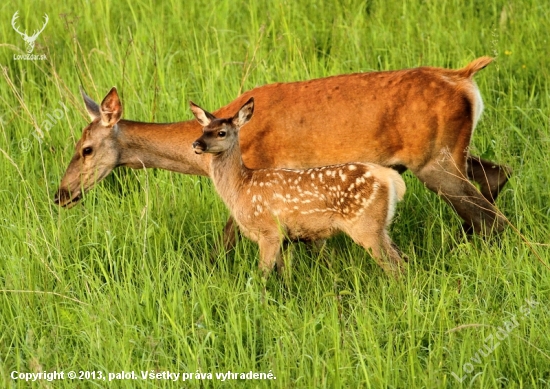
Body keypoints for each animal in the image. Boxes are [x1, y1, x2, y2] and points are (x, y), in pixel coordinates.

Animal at [57, 56, 512, 247]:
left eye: (86, 149)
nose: (61, 194)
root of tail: (464, 79)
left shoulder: (258, 177)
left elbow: (229, 237)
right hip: (452, 153)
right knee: (497, 175)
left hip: (434, 161)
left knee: (492, 216)